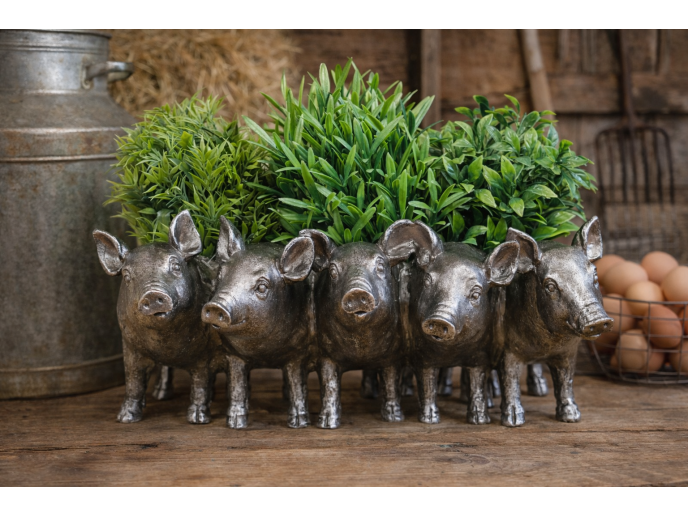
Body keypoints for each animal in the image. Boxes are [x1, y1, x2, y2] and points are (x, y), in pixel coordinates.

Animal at [93, 211, 222, 425]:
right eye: (127, 275)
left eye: (176, 266)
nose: (152, 294)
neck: (165, 343)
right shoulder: (130, 347)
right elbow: (133, 381)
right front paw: (125, 418)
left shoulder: (205, 353)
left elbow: (200, 384)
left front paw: (197, 420)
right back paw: (160, 395)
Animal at [202, 217, 317, 430]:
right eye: (221, 277)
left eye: (262, 287)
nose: (215, 306)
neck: (263, 351)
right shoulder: (233, 354)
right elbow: (237, 385)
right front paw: (235, 424)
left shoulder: (296, 352)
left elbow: (296, 383)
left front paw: (299, 424)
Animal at [302, 226, 416, 430]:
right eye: (333, 270)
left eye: (380, 266)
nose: (356, 292)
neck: (361, 344)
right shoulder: (326, 354)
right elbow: (329, 385)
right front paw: (326, 424)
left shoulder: (392, 354)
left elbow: (390, 383)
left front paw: (394, 419)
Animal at [385, 220, 520, 425]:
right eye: (428, 280)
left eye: (476, 293)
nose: (440, 319)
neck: (451, 351)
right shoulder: (422, 354)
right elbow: (427, 384)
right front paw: (430, 420)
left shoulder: (480, 354)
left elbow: (477, 382)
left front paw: (480, 420)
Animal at [498, 217, 613, 427]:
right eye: (550, 286)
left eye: (595, 274)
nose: (599, 320)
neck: (547, 342)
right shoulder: (507, 350)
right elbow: (510, 380)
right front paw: (513, 421)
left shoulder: (568, 352)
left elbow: (565, 381)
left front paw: (572, 417)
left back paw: (540, 390)